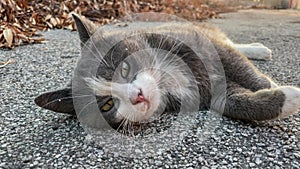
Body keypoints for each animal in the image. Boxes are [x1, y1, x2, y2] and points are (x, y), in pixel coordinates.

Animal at [34, 13, 300, 130]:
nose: (137, 96)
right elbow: (231, 102)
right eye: (107, 105)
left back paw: (258, 49)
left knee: (232, 45)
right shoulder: (202, 94)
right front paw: (287, 98)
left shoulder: (196, 43)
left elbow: (240, 67)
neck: (166, 79)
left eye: (124, 68)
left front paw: (273, 86)